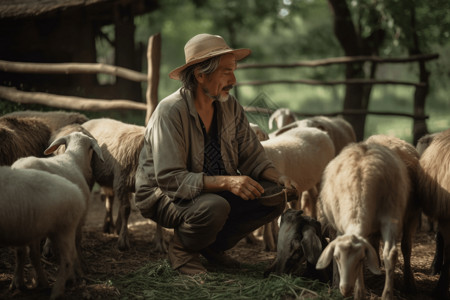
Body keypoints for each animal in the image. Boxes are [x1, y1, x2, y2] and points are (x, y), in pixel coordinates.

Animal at [81, 118, 168, 252]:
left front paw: (160, 243)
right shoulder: (121, 182)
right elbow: (126, 210)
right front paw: (123, 242)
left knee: (110, 198)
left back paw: (111, 226)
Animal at [316, 136, 418, 300]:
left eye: (360, 259)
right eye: (336, 257)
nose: (346, 290)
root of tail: (381, 136)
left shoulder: (391, 218)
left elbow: (391, 254)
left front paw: (387, 295)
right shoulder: (341, 226)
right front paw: (359, 293)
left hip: (412, 215)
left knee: (406, 247)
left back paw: (409, 283)